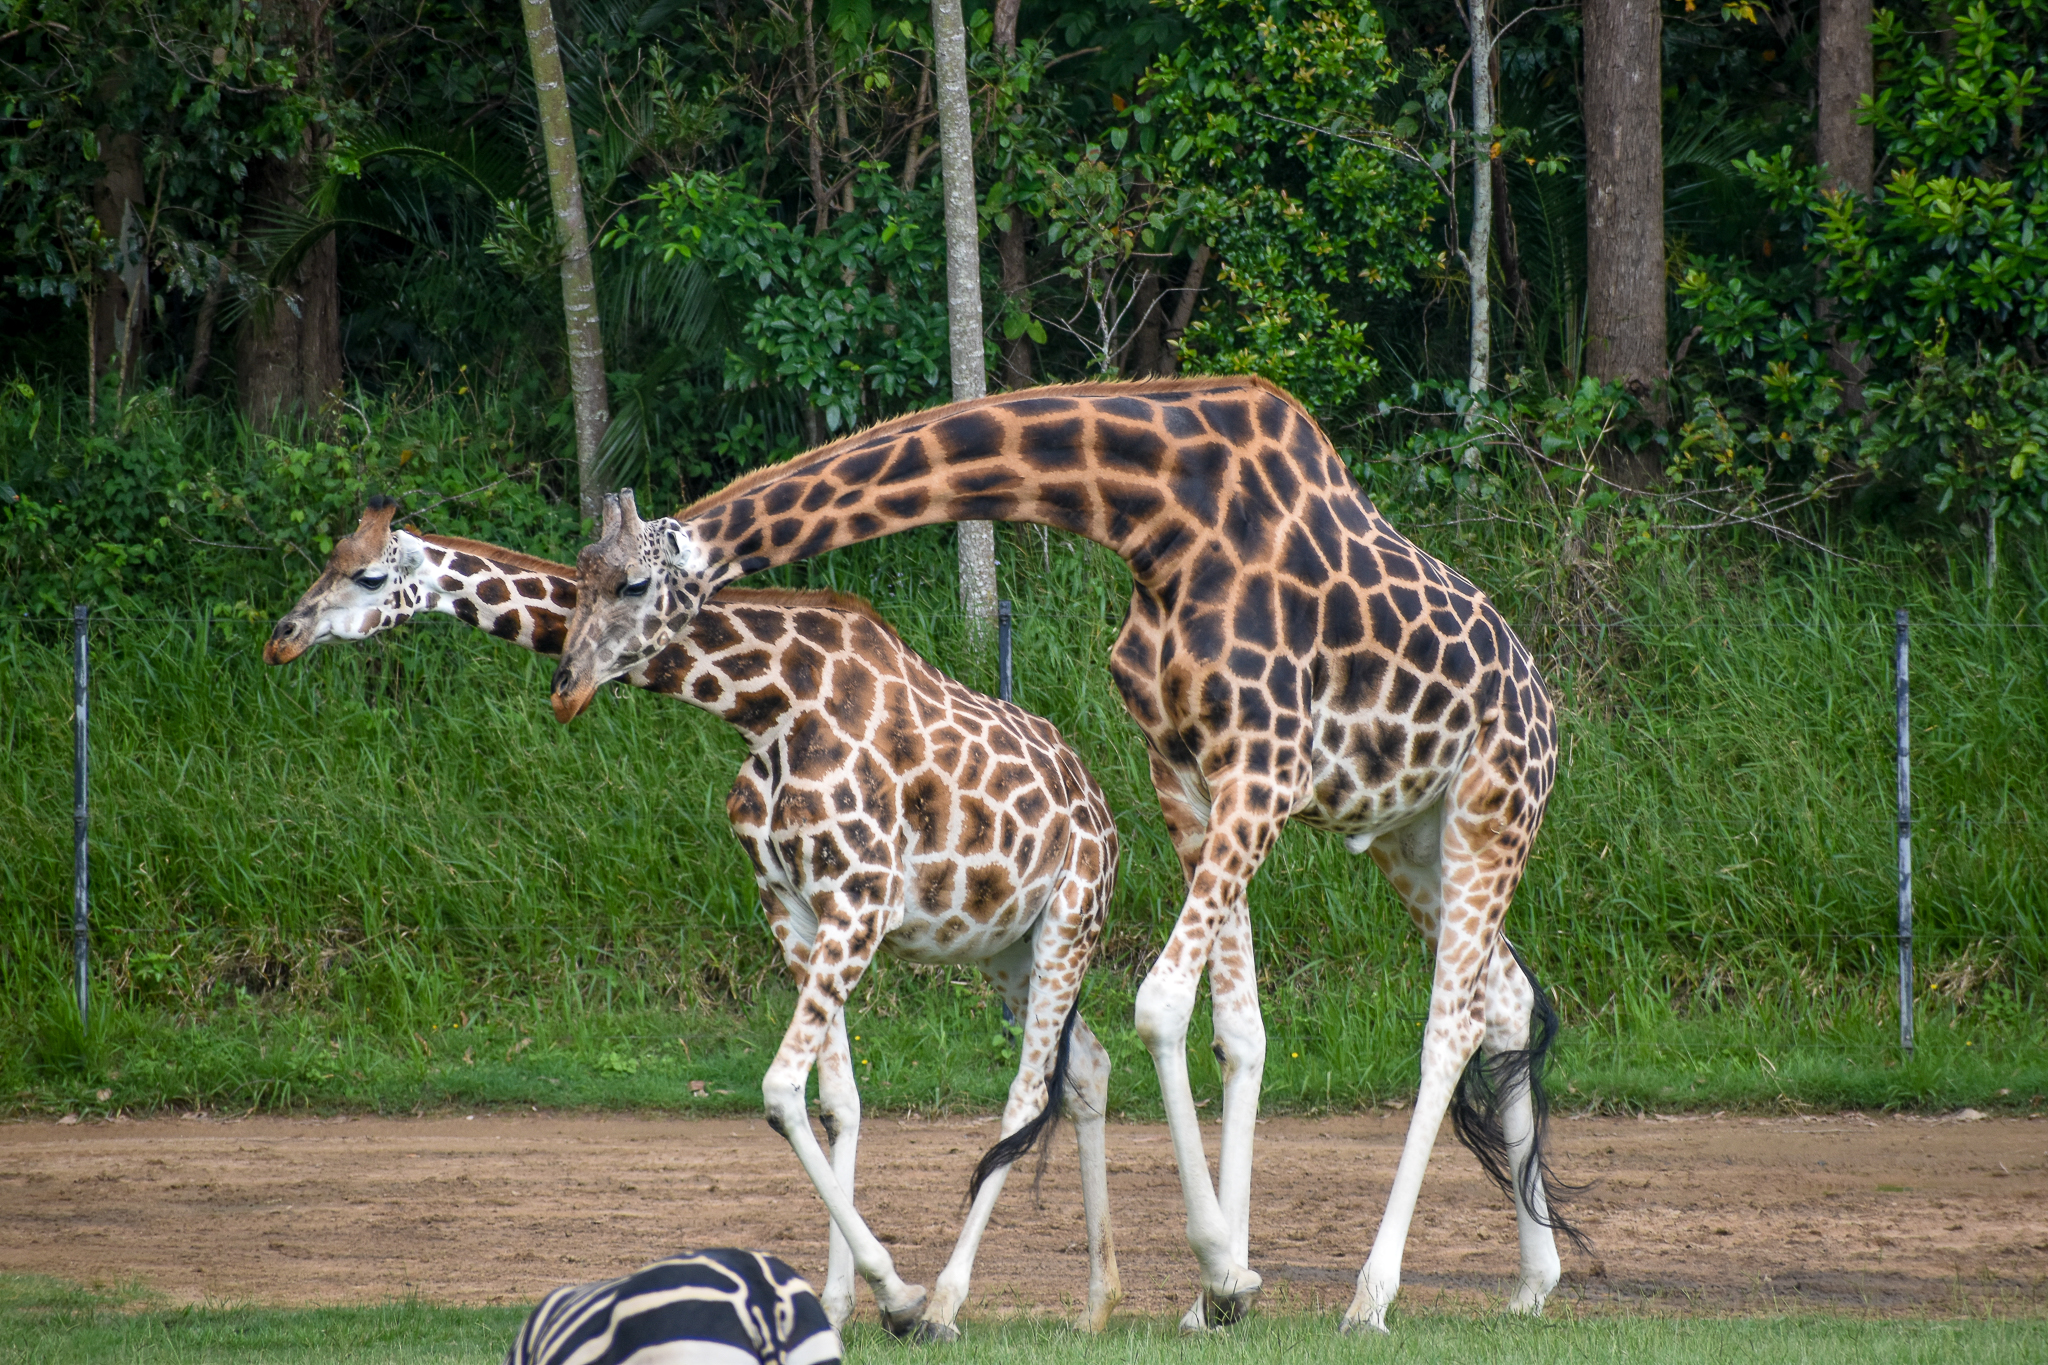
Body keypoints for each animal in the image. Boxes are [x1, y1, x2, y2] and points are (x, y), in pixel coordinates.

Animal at [264, 496, 1124, 1340]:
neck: (767, 705)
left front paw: (903, 1297)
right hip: (1007, 947)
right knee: (1086, 1063)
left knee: (1026, 1090)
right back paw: (1097, 1303)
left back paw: (949, 1303)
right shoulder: (795, 902)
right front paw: (841, 1304)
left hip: (1069, 918)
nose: (284, 636)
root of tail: (1101, 806)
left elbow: (781, 1089)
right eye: (328, 558)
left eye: (369, 575)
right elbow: (838, 1101)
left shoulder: (864, 896)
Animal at [548, 376, 1586, 1335]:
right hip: (1414, 836)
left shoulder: (1266, 767)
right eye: (581, 572)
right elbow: (1235, 1030)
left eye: (631, 583)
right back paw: (1535, 1280)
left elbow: (1159, 1003)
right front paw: (1222, 1287)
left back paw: (1374, 1295)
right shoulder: (1189, 774)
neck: (1159, 516)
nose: (564, 686)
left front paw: (1221, 1270)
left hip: (1493, 807)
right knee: (1505, 998)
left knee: (1449, 1022)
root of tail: (1546, 704)